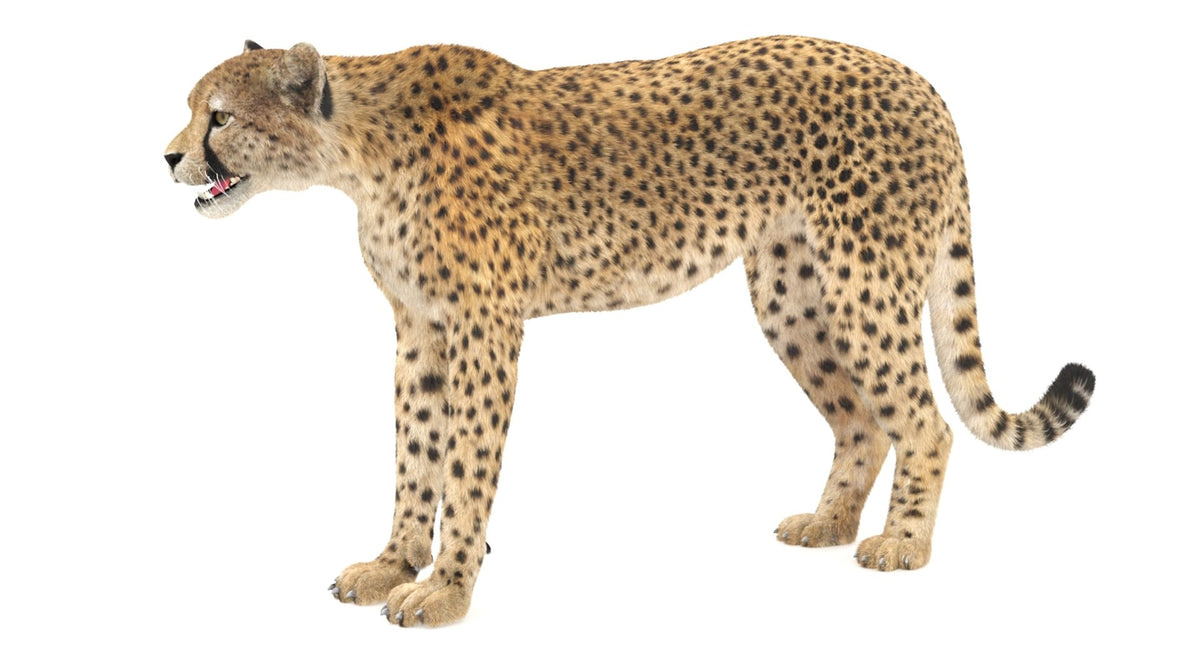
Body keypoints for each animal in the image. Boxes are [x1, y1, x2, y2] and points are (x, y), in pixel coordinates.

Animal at [165, 36, 1096, 627]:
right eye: (196, 111)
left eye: (220, 115)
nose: (169, 156)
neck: (356, 152)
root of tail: (915, 76)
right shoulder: (420, 329)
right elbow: (415, 451)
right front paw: (392, 562)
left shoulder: (484, 327)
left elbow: (464, 463)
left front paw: (447, 589)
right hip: (790, 293)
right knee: (862, 416)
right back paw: (828, 523)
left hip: (864, 282)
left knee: (927, 421)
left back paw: (901, 541)